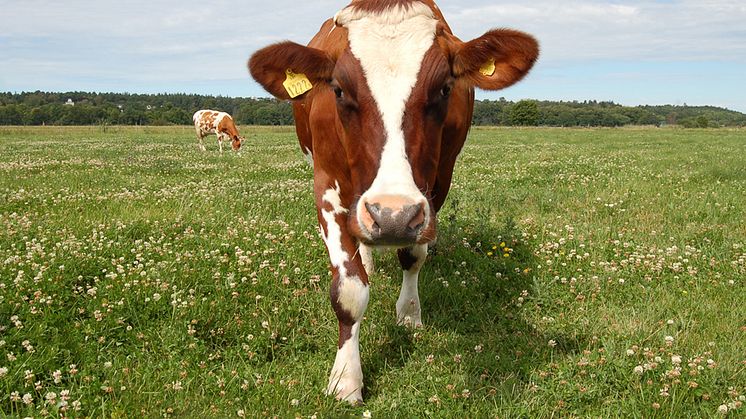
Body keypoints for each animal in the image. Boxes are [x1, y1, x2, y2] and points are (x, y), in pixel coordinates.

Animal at [248, 0, 536, 406]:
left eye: (444, 88)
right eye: (338, 89)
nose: (392, 216)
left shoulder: (435, 187)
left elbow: (413, 257)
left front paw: (409, 314)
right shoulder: (327, 188)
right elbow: (349, 290)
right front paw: (346, 379)